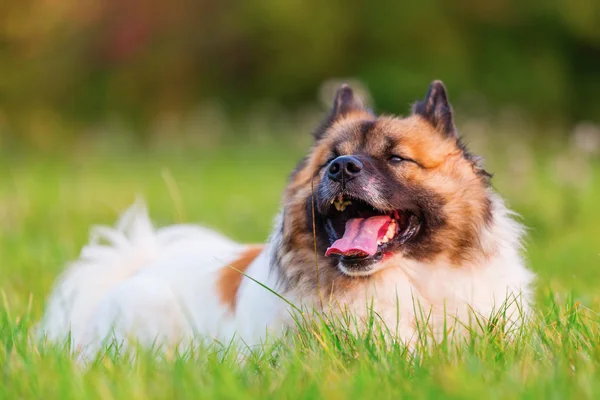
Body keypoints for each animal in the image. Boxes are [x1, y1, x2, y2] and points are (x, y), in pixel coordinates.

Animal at [37, 81, 536, 356]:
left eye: (397, 158)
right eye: (329, 160)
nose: (343, 169)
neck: (402, 281)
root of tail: (134, 264)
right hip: (150, 309)